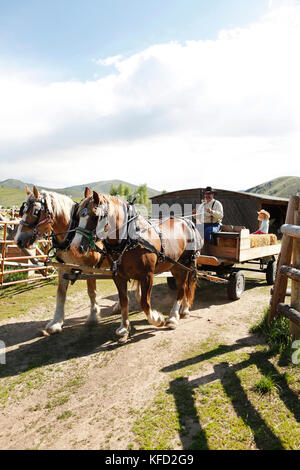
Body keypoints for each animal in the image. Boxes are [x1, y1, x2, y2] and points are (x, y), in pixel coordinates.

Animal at [70, 191, 203, 342]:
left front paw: (157, 319)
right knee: (185, 286)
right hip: (175, 265)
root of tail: (188, 222)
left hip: (185, 263)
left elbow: (145, 303)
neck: (129, 239)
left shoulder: (147, 276)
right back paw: (184, 310)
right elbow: (124, 301)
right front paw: (124, 328)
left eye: (95, 216)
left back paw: (174, 317)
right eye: (78, 215)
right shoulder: (118, 276)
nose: (75, 247)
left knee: (182, 287)